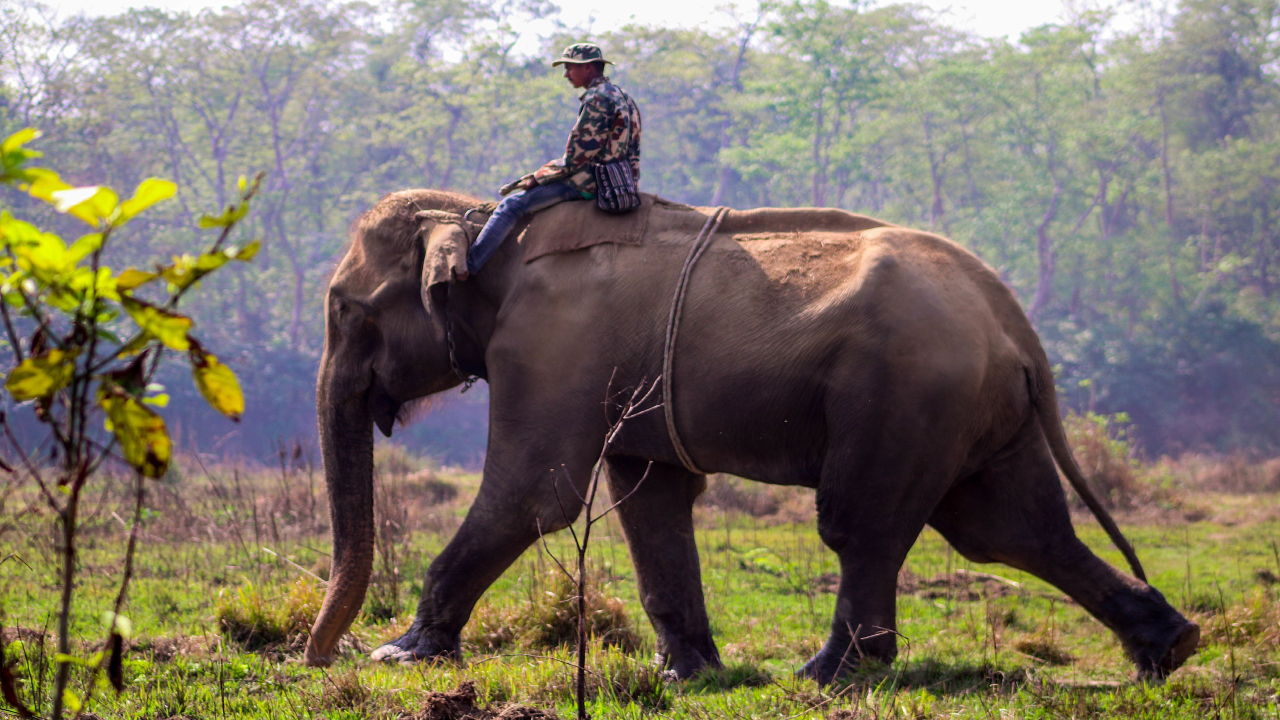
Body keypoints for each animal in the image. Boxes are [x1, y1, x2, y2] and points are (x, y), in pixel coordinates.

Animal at [303, 189, 1200, 683]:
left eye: (345, 309)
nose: (315, 658)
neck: (486, 220)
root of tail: (1010, 315)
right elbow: (650, 497)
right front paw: (687, 674)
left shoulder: (550, 344)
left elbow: (535, 492)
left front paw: (400, 655)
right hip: (975, 408)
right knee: (1014, 530)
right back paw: (1171, 648)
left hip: (906, 395)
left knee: (863, 525)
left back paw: (832, 675)